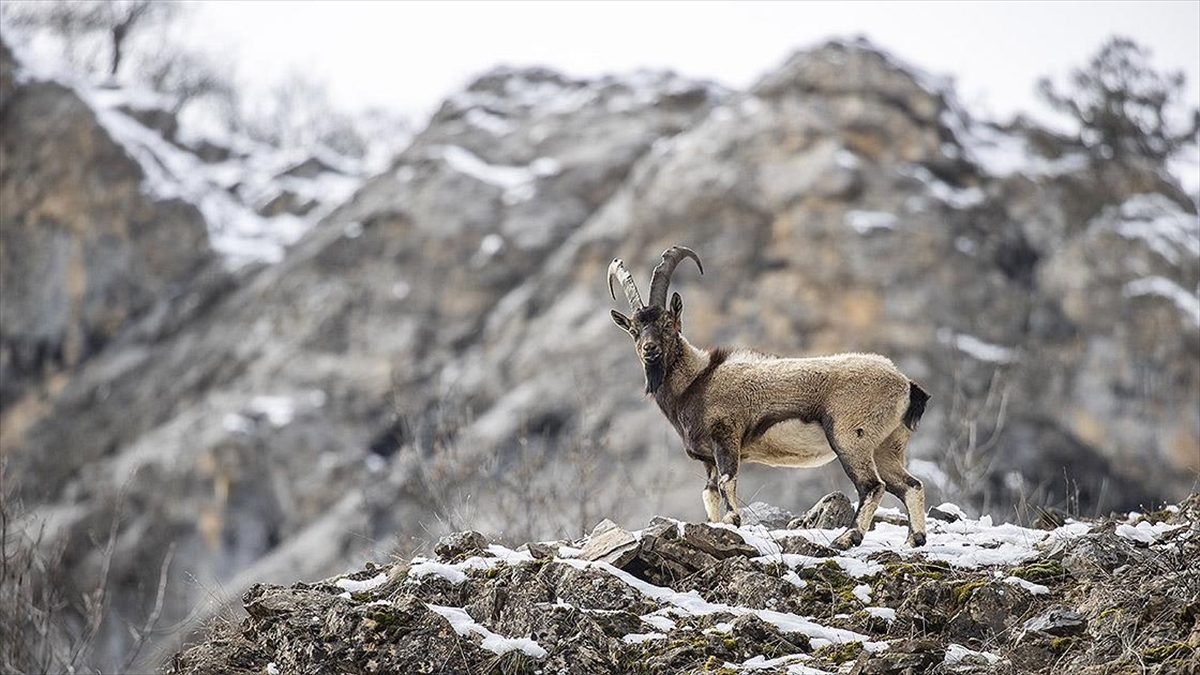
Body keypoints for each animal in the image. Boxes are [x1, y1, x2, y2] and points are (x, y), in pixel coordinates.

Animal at [609, 243, 926, 550]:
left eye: (666, 323)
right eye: (634, 330)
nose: (649, 349)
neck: (698, 380)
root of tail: (905, 384)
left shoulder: (726, 437)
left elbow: (726, 482)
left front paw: (732, 521)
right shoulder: (707, 458)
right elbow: (709, 493)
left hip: (851, 439)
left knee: (873, 486)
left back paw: (848, 537)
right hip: (886, 446)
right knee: (910, 485)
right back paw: (915, 539)